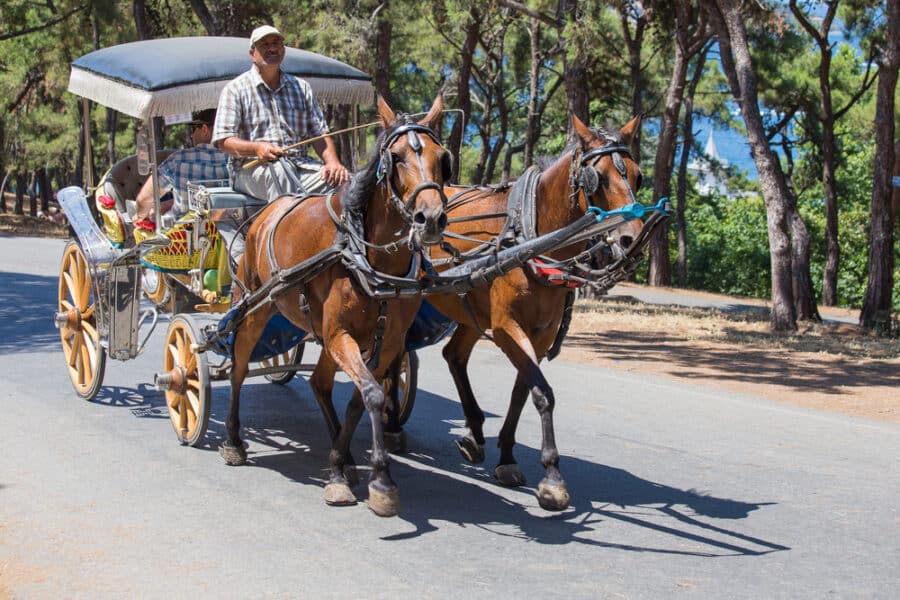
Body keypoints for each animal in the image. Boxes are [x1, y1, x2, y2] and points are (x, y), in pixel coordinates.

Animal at [220, 97, 450, 516]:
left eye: (443, 159)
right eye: (396, 157)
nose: (431, 219)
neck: (366, 255)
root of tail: (264, 213)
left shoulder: (387, 342)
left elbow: (361, 399)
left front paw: (341, 468)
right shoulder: (340, 333)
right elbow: (372, 394)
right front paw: (381, 479)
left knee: (318, 383)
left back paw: (343, 457)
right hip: (255, 310)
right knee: (239, 368)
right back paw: (232, 440)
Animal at [420, 113, 640, 510]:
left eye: (637, 175)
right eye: (596, 177)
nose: (630, 238)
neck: (533, 238)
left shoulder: (539, 335)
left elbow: (523, 391)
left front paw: (507, 456)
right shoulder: (508, 327)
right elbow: (543, 393)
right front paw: (552, 476)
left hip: (471, 310)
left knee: (454, 356)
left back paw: (474, 432)